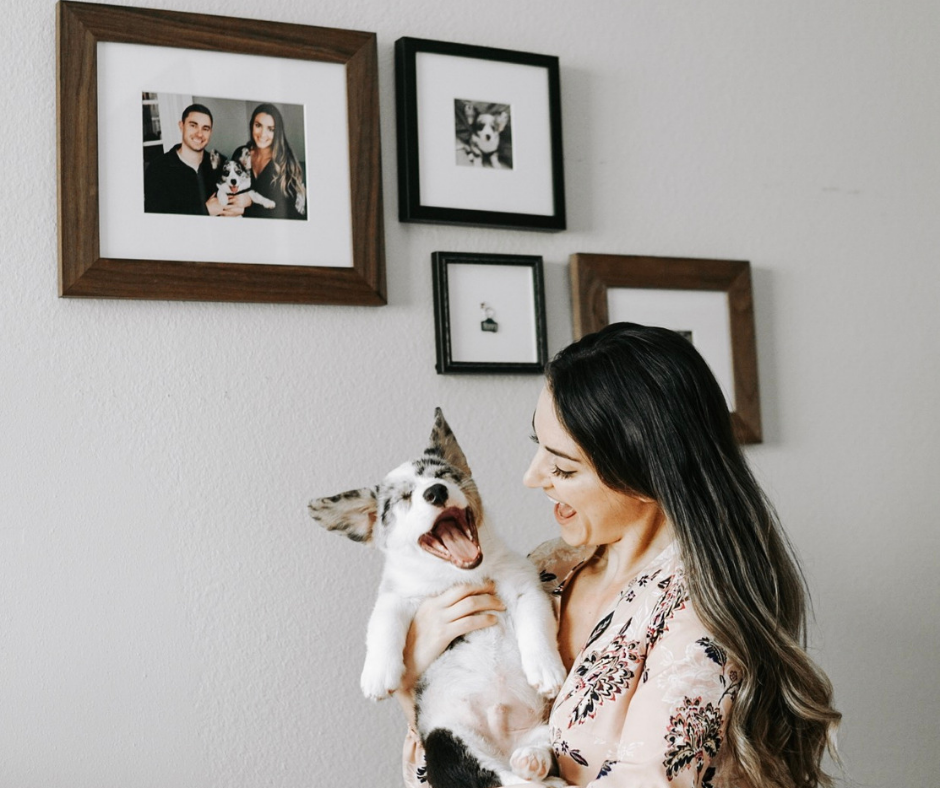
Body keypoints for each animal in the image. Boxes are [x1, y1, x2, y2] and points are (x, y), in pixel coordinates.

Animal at [308, 410, 564, 784]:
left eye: (445, 476)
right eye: (403, 498)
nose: (436, 492)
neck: (458, 575)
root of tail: (505, 747)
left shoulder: (524, 586)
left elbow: (536, 627)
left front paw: (546, 670)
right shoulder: (397, 596)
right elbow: (384, 625)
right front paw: (378, 675)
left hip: (543, 731)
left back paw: (533, 759)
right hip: (447, 740)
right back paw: (529, 765)